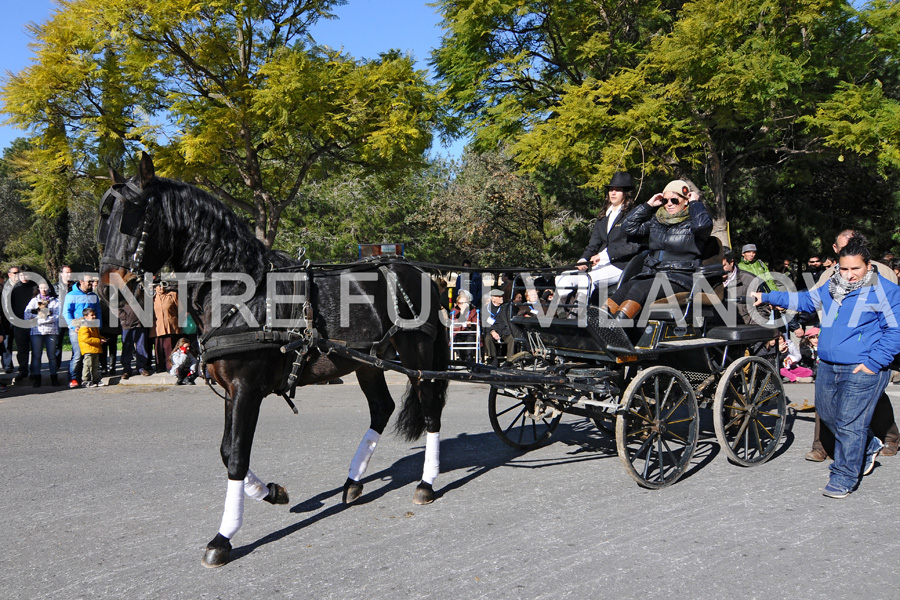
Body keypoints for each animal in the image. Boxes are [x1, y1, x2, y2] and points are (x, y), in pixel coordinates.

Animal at [100, 154, 450, 568]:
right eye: (106, 217)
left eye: (133, 216)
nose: (107, 289)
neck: (239, 292)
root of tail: (420, 272)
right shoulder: (232, 390)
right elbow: (227, 451)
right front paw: (272, 491)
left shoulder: (247, 388)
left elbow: (236, 455)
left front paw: (223, 537)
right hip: (368, 362)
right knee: (382, 408)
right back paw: (353, 482)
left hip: (417, 358)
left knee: (430, 411)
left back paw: (426, 483)